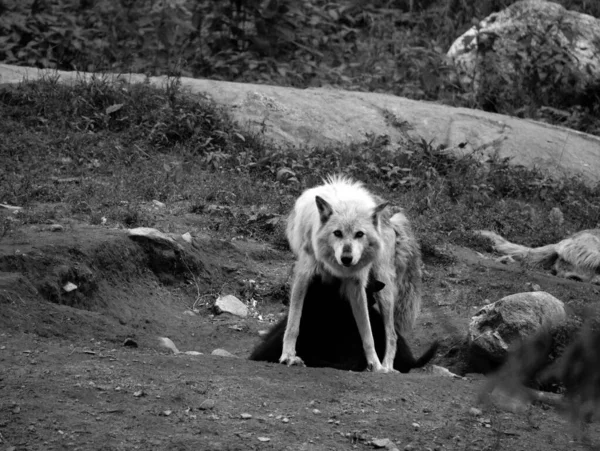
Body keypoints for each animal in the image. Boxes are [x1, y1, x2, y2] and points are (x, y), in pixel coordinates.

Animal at [282, 175, 422, 372]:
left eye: (359, 234)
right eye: (337, 233)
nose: (347, 258)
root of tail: (391, 217)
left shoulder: (356, 284)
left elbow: (367, 334)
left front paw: (375, 365)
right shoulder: (304, 275)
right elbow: (294, 323)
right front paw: (288, 356)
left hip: (384, 290)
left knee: (392, 334)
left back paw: (387, 366)